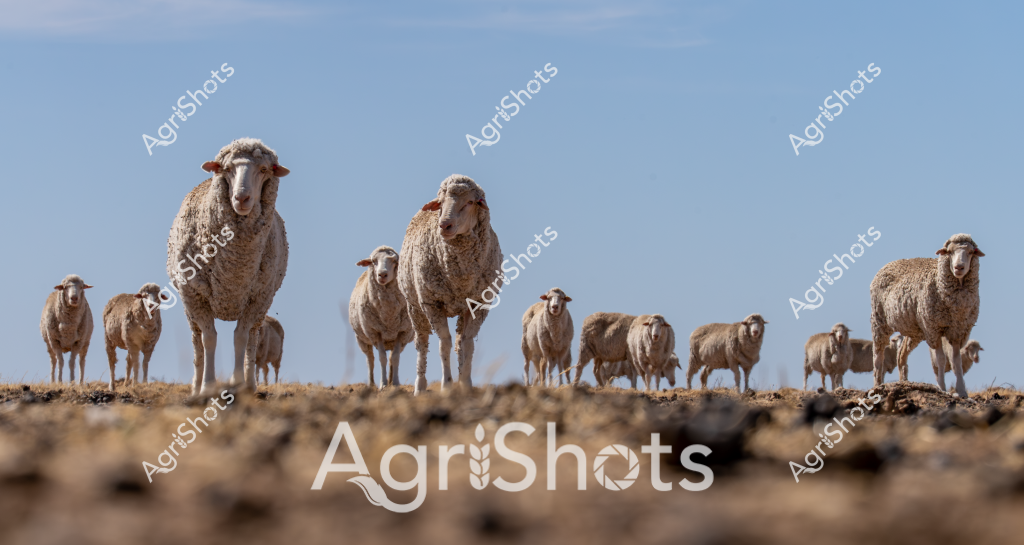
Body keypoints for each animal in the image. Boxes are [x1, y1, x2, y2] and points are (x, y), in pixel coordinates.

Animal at [166, 138, 290, 396]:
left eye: (264, 169)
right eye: (227, 168)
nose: (242, 198)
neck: (235, 266)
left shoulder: (256, 298)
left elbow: (240, 338)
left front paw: (238, 382)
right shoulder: (195, 295)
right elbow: (209, 339)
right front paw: (207, 386)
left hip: (263, 305)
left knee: (252, 339)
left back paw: (251, 383)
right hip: (188, 306)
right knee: (197, 343)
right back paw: (196, 385)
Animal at [349, 246, 413, 388]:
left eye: (395, 261)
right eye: (374, 261)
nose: (382, 274)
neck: (388, 315)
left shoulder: (402, 332)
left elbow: (395, 358)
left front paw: (395, 383)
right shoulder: (375, 332)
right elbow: (381, 358)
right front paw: (383, 384)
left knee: (391, 358)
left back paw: (391, 381)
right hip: (362, 339)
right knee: (370, 359)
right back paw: (371, 383)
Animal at [397, 175, 502, 394]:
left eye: (470, 202)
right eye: (441, 203)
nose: (444, 225)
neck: (460, 277)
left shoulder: (478, 305)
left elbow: (467, 344)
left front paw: (466, 384)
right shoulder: (432, 303)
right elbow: (444, 344)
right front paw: (446, 385)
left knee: (459, 343)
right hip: (415, 307)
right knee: (422, 343)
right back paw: (420, 386)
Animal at [869, 234, 984, 398]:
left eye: (970, 252)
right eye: (949, 252)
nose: (959, 267)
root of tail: (890, 263)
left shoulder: (958, 331)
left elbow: (956, 362)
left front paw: (962, 391)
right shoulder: (933, 329)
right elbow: (941, 359)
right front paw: (942, 388)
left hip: (914, 330)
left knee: (901, 354)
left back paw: (904, 382)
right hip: (879, 320)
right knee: (878, 355)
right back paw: (877, 385)